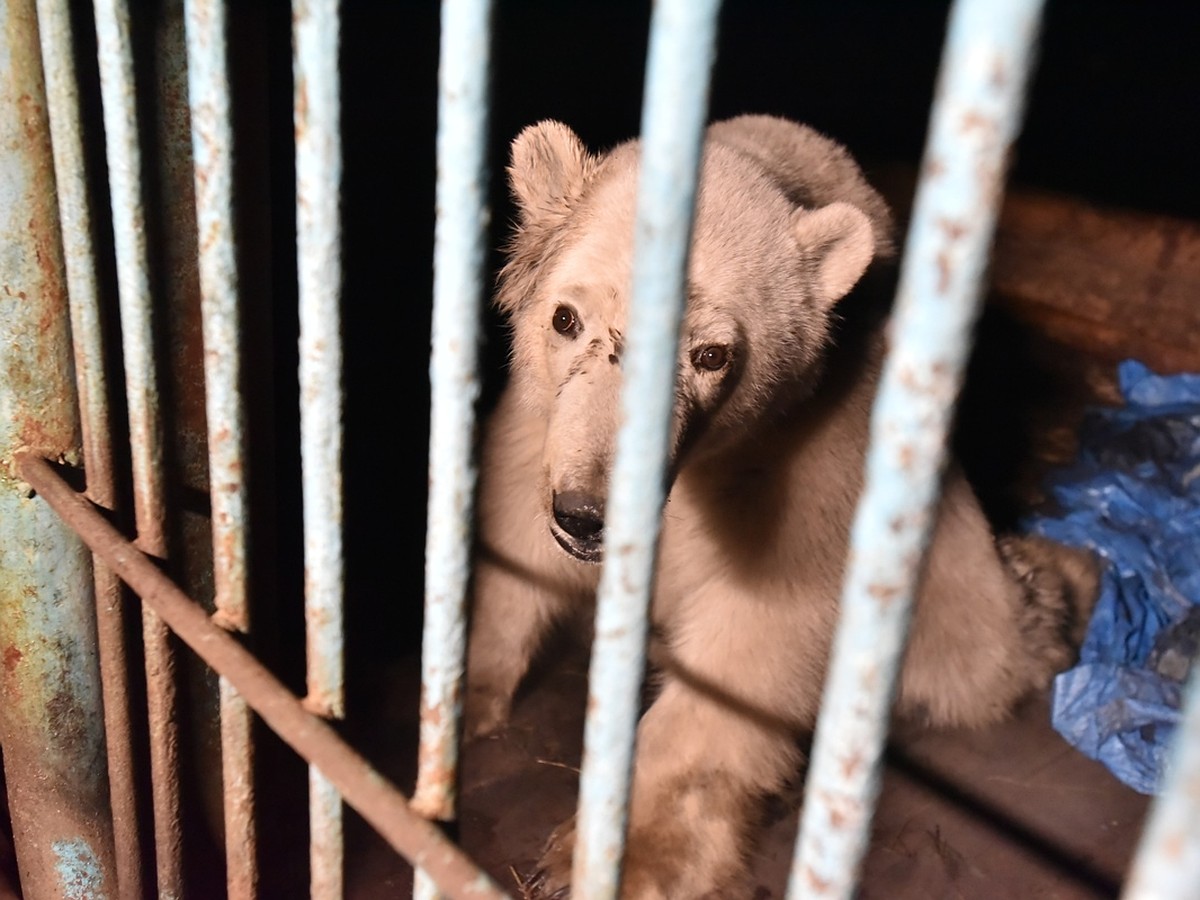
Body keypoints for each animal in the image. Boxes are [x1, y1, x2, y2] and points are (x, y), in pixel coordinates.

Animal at [465, 116, 1099, 897]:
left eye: (710, 355)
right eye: (565, 317)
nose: (587, 517)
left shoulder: (820, 448)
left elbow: (753, 638)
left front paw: (618, 856)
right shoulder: (544, 420)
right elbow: (517, 536)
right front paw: (471, 691)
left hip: (954, 584)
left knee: (984, 657)